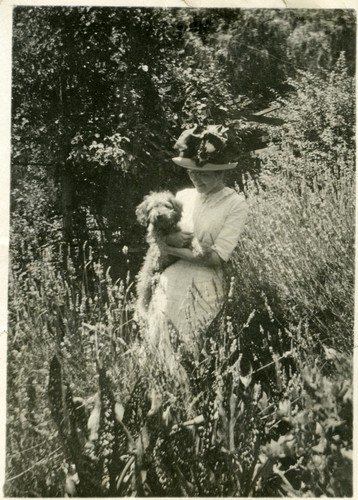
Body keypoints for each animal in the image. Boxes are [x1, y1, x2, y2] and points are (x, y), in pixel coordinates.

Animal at [135, 191, 183, 320]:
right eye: (152, 208)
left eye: (166, 205)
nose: (159, 215)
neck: (164, 229)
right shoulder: (155, 237)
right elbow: (158, 244)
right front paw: (158, 256)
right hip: (145, 282)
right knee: (142, 300)